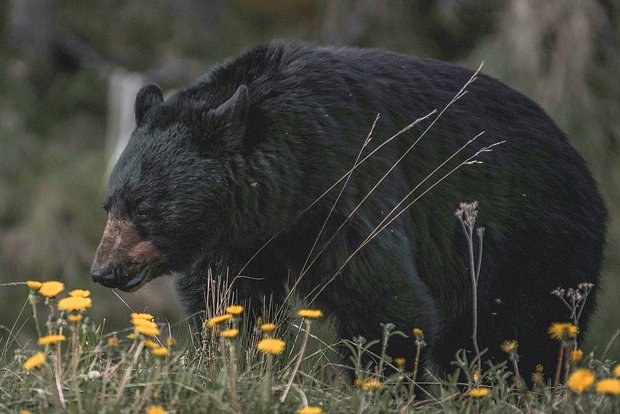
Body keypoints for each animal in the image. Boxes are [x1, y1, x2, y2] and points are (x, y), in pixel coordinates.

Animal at [92, 42, 604, 376]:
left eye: (145, 209)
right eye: (110, 204)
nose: (104, 270)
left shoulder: (349, 193)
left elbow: (387, 303)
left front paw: (383, 384)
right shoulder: (239, 238)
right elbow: (229, 301)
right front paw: (235, 364)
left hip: (534, 243)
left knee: (525, 333)